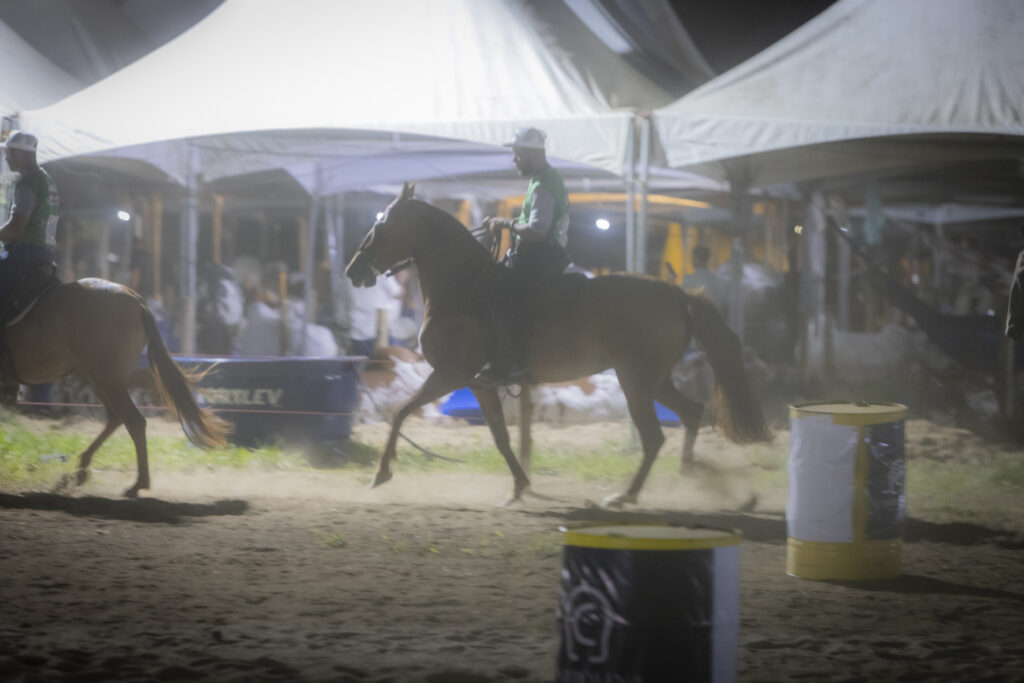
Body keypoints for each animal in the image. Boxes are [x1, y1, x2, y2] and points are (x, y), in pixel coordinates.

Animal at [0, 278, 231, 497]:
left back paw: (136, 484)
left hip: (106, 379)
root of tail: (137, 301)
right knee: (116, 418)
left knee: (133, 421)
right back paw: (79, 473)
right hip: (101, 379)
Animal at [346, 183, 772, 507]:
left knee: (654, 436)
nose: (352, 270)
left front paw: (381, 473)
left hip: (636, 381)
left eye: (383, 225)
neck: (464, 289)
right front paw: (519, 487)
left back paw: (626, 496)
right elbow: (500, 437)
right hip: (656, 379)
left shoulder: (451, 373)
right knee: (692, 413)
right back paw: (697, 475)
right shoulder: (478, 382)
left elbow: (400, 412)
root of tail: (677, 294)